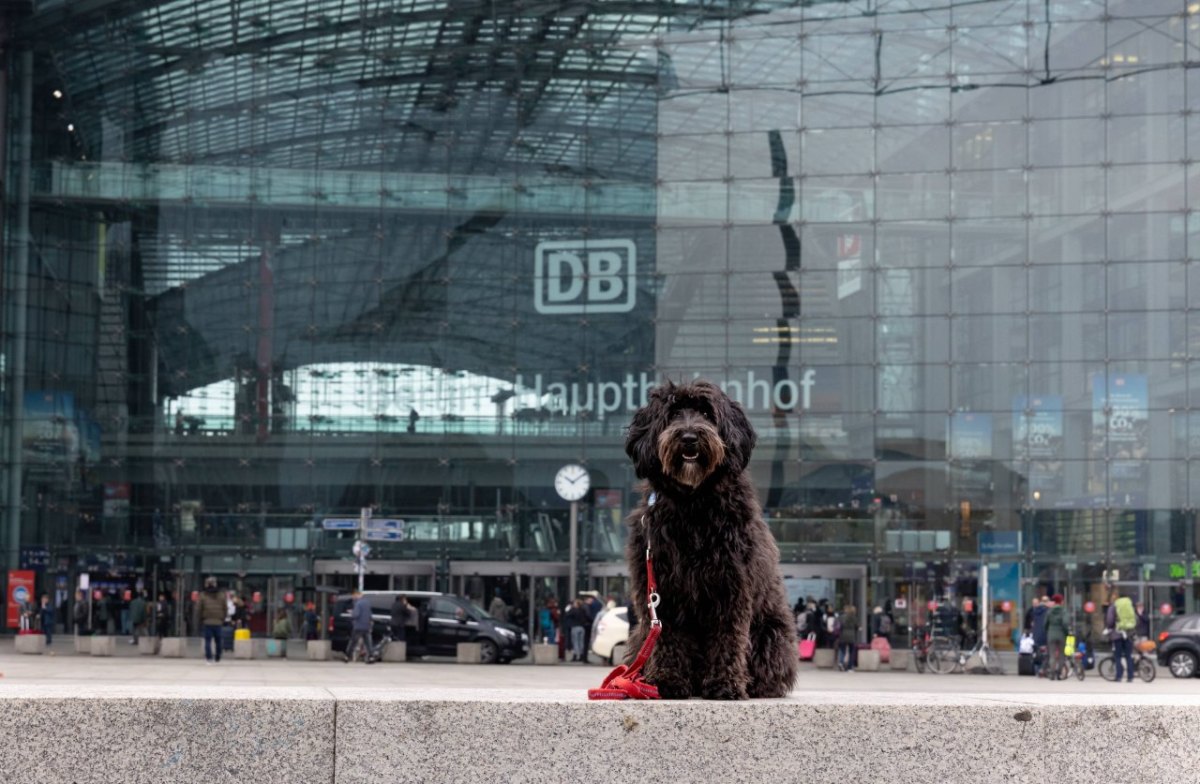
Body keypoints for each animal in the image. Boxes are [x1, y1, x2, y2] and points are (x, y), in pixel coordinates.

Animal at [619, 379, 796, 696]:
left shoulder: (732, 585)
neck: (693, 501)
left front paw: (725, 684)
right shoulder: (663, 590)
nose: (689, 437)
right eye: (673, 414)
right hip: (640, 636)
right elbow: (669, 638)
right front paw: (667, 681)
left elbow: (728, 637)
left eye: (706, 413)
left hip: (770, 637)